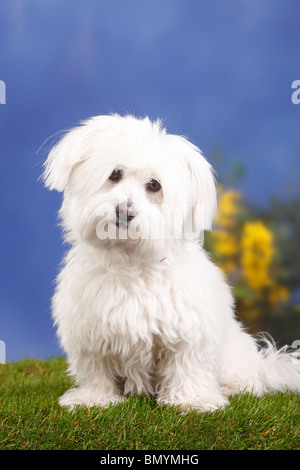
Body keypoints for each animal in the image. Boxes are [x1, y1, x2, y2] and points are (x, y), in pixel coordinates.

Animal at [43, 115, 298, 414]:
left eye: (154, 185)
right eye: (114, 174)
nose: (124, 211)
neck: (132, 257)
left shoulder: (189, 331)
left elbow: (187, 365)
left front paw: (193, 400)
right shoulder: (90, 331)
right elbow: (97, 369)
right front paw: (94, 398)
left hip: (234, 355)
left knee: (249, 379)